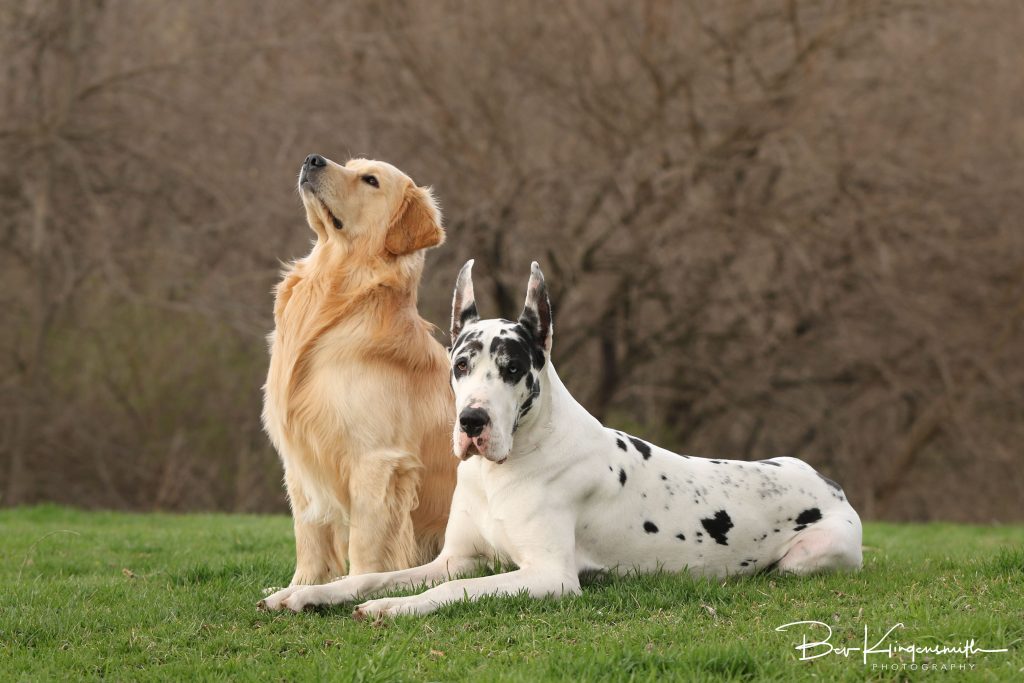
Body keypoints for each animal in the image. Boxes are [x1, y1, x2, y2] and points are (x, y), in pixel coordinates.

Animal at [258, 258, 864, 618]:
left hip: (812, 555)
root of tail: (828, 482)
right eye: (460, 365)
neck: (505, 469)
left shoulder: (547, 577)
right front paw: (308, 592)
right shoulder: (455, 558)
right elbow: (372, 577)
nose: (472, 422)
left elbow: (449, 592)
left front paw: (396, 609)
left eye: (511, 367)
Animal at [264, 154, 456, 589]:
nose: (312, 158)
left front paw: (351, 587)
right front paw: (302, 586)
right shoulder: (300, 459)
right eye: (350, 165)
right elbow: (309, 533)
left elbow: (365, 542)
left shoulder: (377, 461)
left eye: (370, 180)